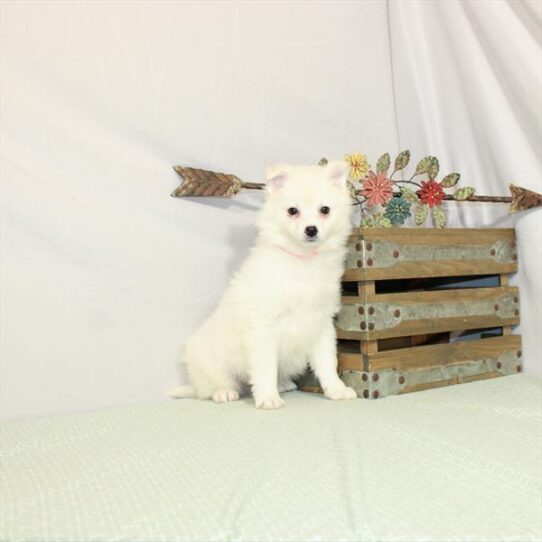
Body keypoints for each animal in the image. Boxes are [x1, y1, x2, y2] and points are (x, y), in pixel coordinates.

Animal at [172, 162, 360, 408]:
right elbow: (266, 368)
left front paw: (337, 390)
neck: (303, 260)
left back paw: (284, 385)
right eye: (292, 211)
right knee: (212, 386)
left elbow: (328, 363)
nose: (311, 229)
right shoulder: (264, 327)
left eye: (325, 210)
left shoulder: (322, 324)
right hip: (212, 362)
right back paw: (224, 392)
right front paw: (268, 398)